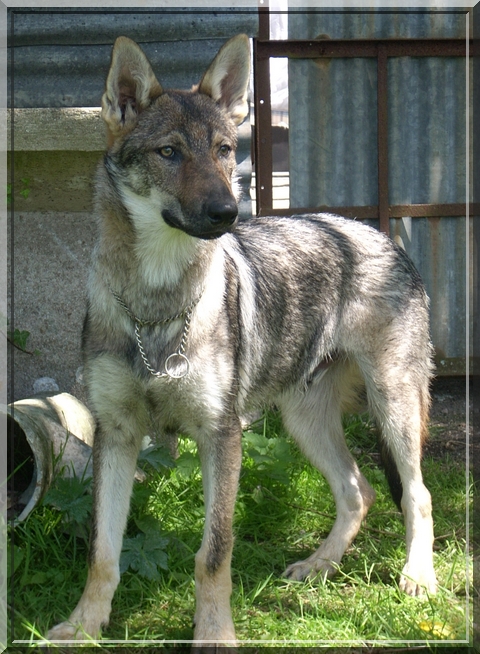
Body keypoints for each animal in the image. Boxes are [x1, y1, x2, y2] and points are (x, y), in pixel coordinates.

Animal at [47, 34, 436, 644]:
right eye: (169, 152)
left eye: (226, 150)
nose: (227, 212)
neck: (157, 303)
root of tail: (377, 233)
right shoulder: (117, 434)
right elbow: (102, 551)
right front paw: (84, 626)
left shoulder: (221, 436)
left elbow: (213, 554)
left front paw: (214, 636)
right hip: (304, 420)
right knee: (359, 491)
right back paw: (317, 567)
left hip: (394, 408)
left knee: (416, 495)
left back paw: (418, 579)